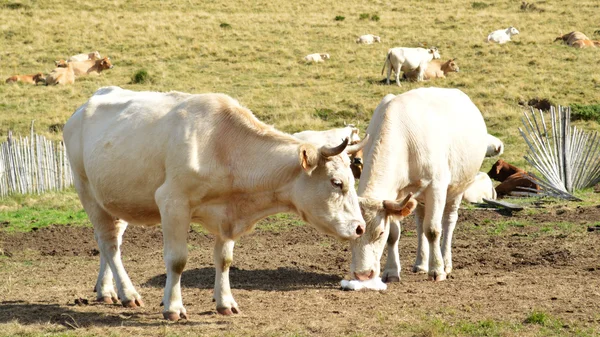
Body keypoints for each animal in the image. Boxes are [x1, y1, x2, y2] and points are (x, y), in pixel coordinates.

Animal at [63, 86, 368, 320]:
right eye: (336, 182)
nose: (360, 228)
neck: (222, 145)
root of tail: (85, 105)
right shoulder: (172, 202)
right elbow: (177, 260)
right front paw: (173, 307)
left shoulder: (228, 214)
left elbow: (224, 259)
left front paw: (225, 303)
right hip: (86, 190)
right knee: (110, 245)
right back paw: (128, 294)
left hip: (116, 200)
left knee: (109, 240)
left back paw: (106, 290)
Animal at [350, 88, 490, 282]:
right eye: (353, 233)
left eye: (379, 233)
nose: (363, 275)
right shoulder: (395, 197)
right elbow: (395, 234)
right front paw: (391, 271)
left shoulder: (436, 186)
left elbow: (432, 229)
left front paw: (437, 270)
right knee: (420, 222)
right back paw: (421, 263)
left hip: (458, 188)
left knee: (448, 221)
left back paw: (446, 263)